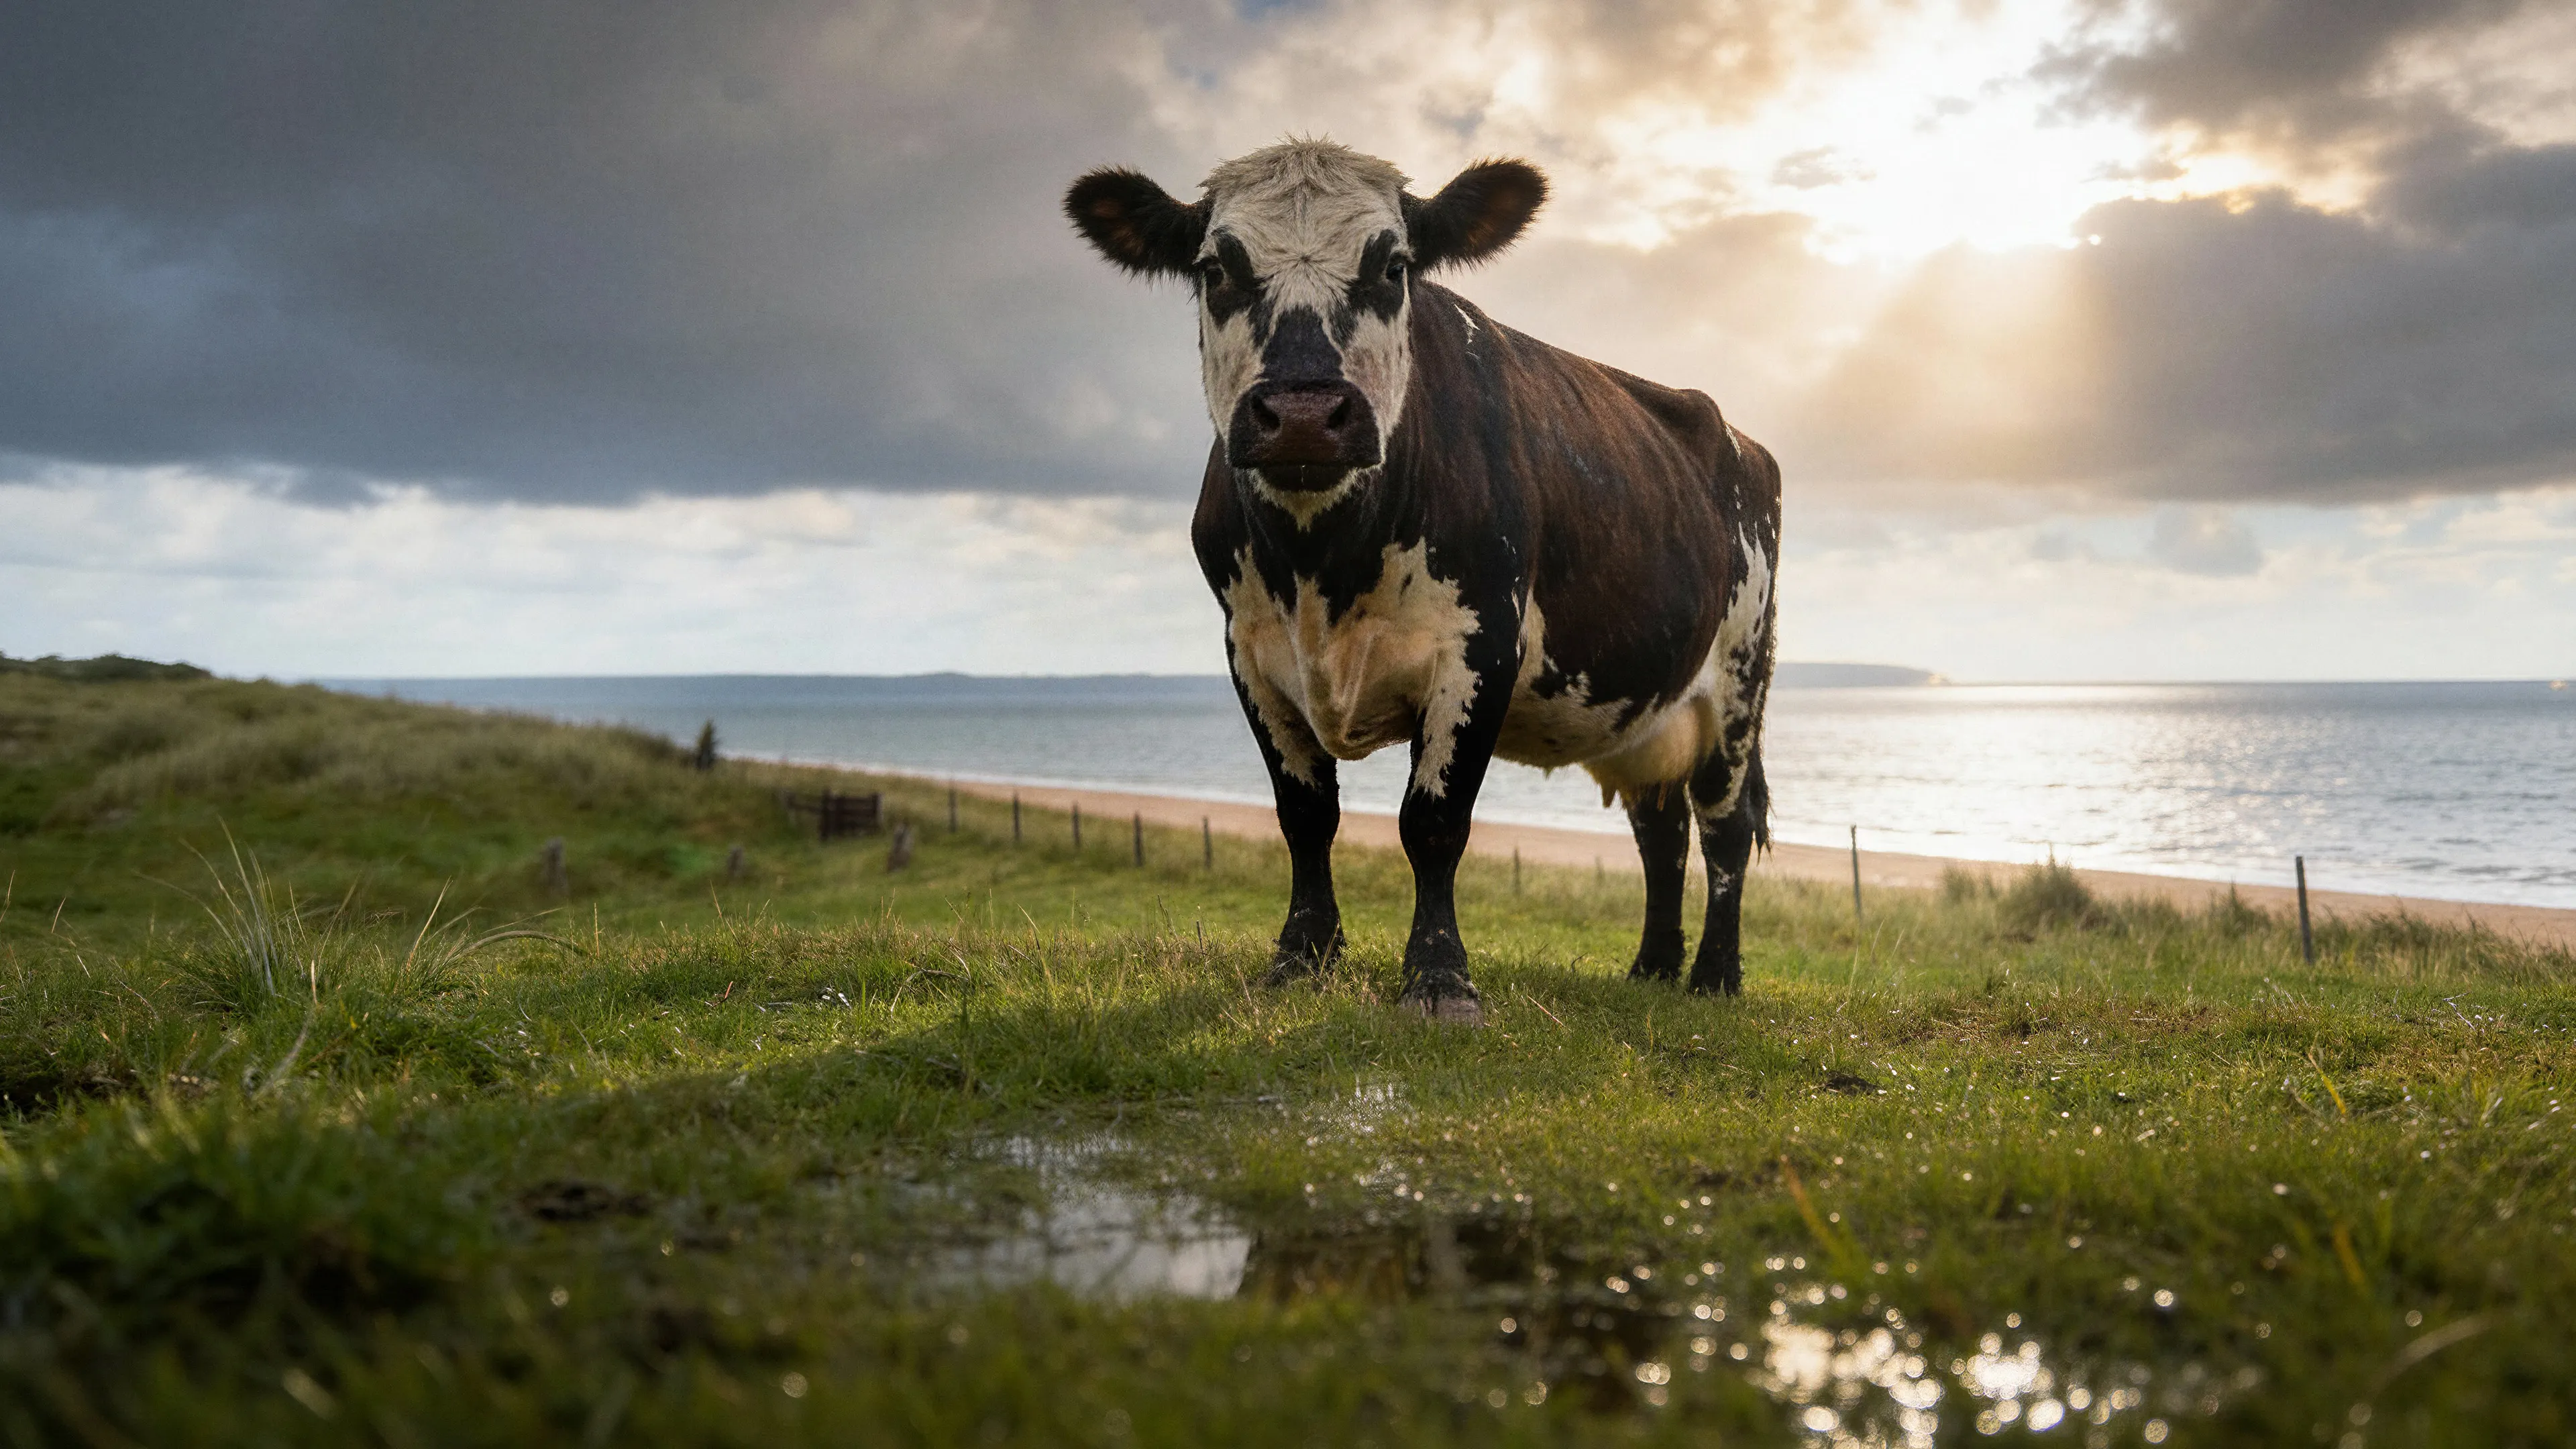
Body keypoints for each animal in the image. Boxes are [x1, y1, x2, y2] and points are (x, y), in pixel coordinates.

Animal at [1064, 140, 1780, 1025]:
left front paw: (1439, 980)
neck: (1321, 569)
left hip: (1740, 678)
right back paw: (1651, 969)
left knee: (1723, 822)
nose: (1305, 415)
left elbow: (1433, 822)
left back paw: (1715, 977)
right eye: (1216, 268)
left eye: (1393, 266)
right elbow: (1305, 815)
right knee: (1662, 828)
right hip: (1646, 707)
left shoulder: (1482, 645)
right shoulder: (1249, 650)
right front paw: (1302, 957)